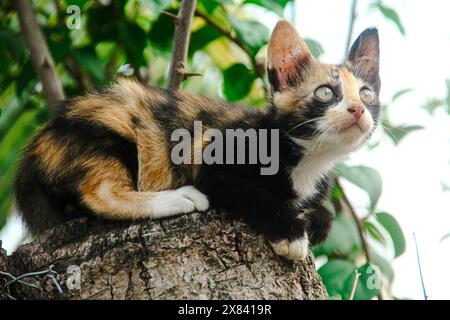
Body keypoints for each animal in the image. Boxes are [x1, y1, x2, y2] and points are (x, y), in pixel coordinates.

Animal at [14, 20, 380, 262]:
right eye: (325, 93)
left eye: (366, 93)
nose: (358, 109)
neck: (308, 158)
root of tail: (32, 152)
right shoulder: (212, 159)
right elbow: (250, 192)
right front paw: (290, 234)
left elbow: (321, 214)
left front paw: (315, 220)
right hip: (106, 129)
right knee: (101, 193)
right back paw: (181, 198)